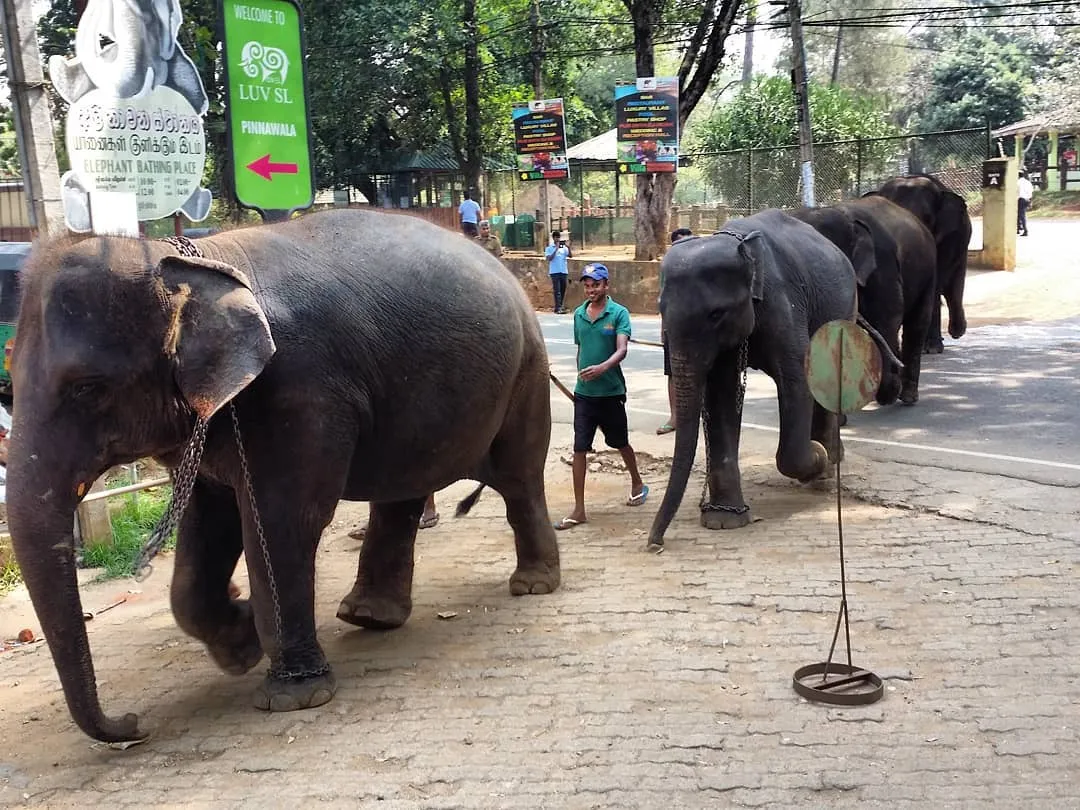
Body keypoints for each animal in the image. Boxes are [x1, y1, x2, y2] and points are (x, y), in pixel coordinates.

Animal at [8, 207, 561, 743]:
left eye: (87, 388)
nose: (132, 727)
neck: (189, 261)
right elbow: (210, 522)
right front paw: (240, 643)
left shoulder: (301, 388)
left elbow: (281, 523)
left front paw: (294, 695)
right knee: (402, 493)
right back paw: (368, 616)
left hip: (527, 369)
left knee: (518, 476)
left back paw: (532, 585)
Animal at [648, 212, 868, 548]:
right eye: (660, 310)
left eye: (716, 314)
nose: (655, 542)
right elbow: (720, 393)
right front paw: (723, 521)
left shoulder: (784, 304)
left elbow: (796, 381)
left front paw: (816, 457)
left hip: (845, 308)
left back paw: (827, 467)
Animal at [790, 196, 941, 406]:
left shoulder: (883, 264)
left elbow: (888, 316)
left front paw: (888, 394)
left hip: (929, 271)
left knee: (917, 323)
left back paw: (906, 396)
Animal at [864, 174, 976, 352]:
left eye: (928, 218)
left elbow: (934, 284)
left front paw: (932, 348)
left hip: (961, 245)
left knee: (953, 288)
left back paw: (956, 331)